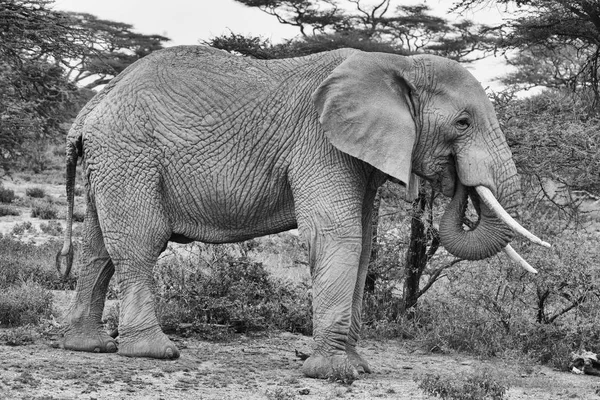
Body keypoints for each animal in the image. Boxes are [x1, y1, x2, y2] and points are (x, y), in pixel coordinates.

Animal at [57, 44, 548, 378]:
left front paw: (357, 367)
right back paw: (154, 352)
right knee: (140, 241)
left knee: (97, 248)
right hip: (128, 153)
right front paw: (334, 374)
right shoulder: (319, 143)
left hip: (110, 159)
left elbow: (363, 246)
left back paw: (87, 346)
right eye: (462, 123)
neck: (397, 63)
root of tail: (91, 107)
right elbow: (337, 236)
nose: (456, 181)